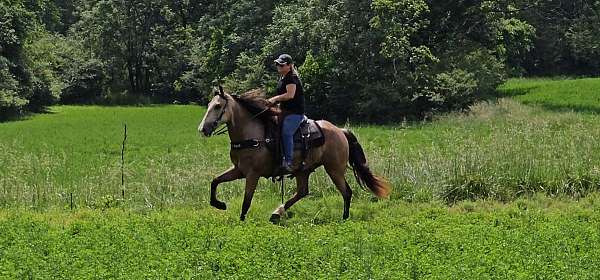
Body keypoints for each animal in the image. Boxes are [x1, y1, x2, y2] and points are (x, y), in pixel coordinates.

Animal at [199, 86, 392, 222]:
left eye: (217, 106)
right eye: (208, 105)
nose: (203, 129)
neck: (252, 134)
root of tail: (340, 131)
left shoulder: (253, 174)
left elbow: (247, 200)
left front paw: (241, 221)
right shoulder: (239, 170)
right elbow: (215, 181)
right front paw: (219, 204)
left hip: (334, 169)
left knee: (346, 192)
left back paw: (344, 218)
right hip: (303, 170)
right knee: (302, 192)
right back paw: (277, 213)